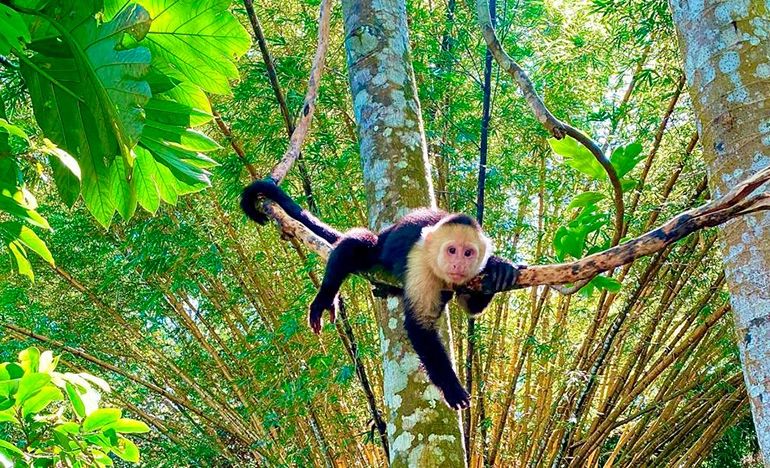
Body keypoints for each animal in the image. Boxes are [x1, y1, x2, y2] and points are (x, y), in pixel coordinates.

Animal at [241, 179, 519, 409]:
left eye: (468, 253)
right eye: (452, 250)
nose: (458, 264)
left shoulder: (472, 276)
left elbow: (470, 307)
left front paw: (499, 269)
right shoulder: (419, 263)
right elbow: (419, 326)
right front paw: (452, 388)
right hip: (377, 251)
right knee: (356, 244)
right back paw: (325, 298)